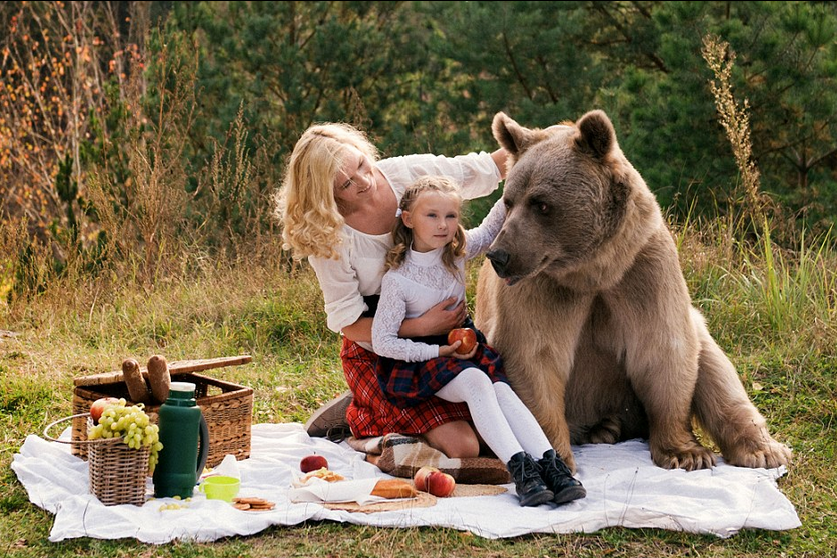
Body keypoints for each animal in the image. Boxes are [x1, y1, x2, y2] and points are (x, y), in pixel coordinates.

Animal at [476, 111, 792, 474]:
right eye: (509, 201)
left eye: (541, 204)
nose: (501, 255)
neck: (592, 271)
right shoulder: (542, 288)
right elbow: (533, 356)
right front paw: (554, 456)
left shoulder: (641, 271)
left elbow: (663, 347)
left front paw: (686, 453)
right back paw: (603, 428)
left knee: (715, 366)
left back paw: (762, 449)